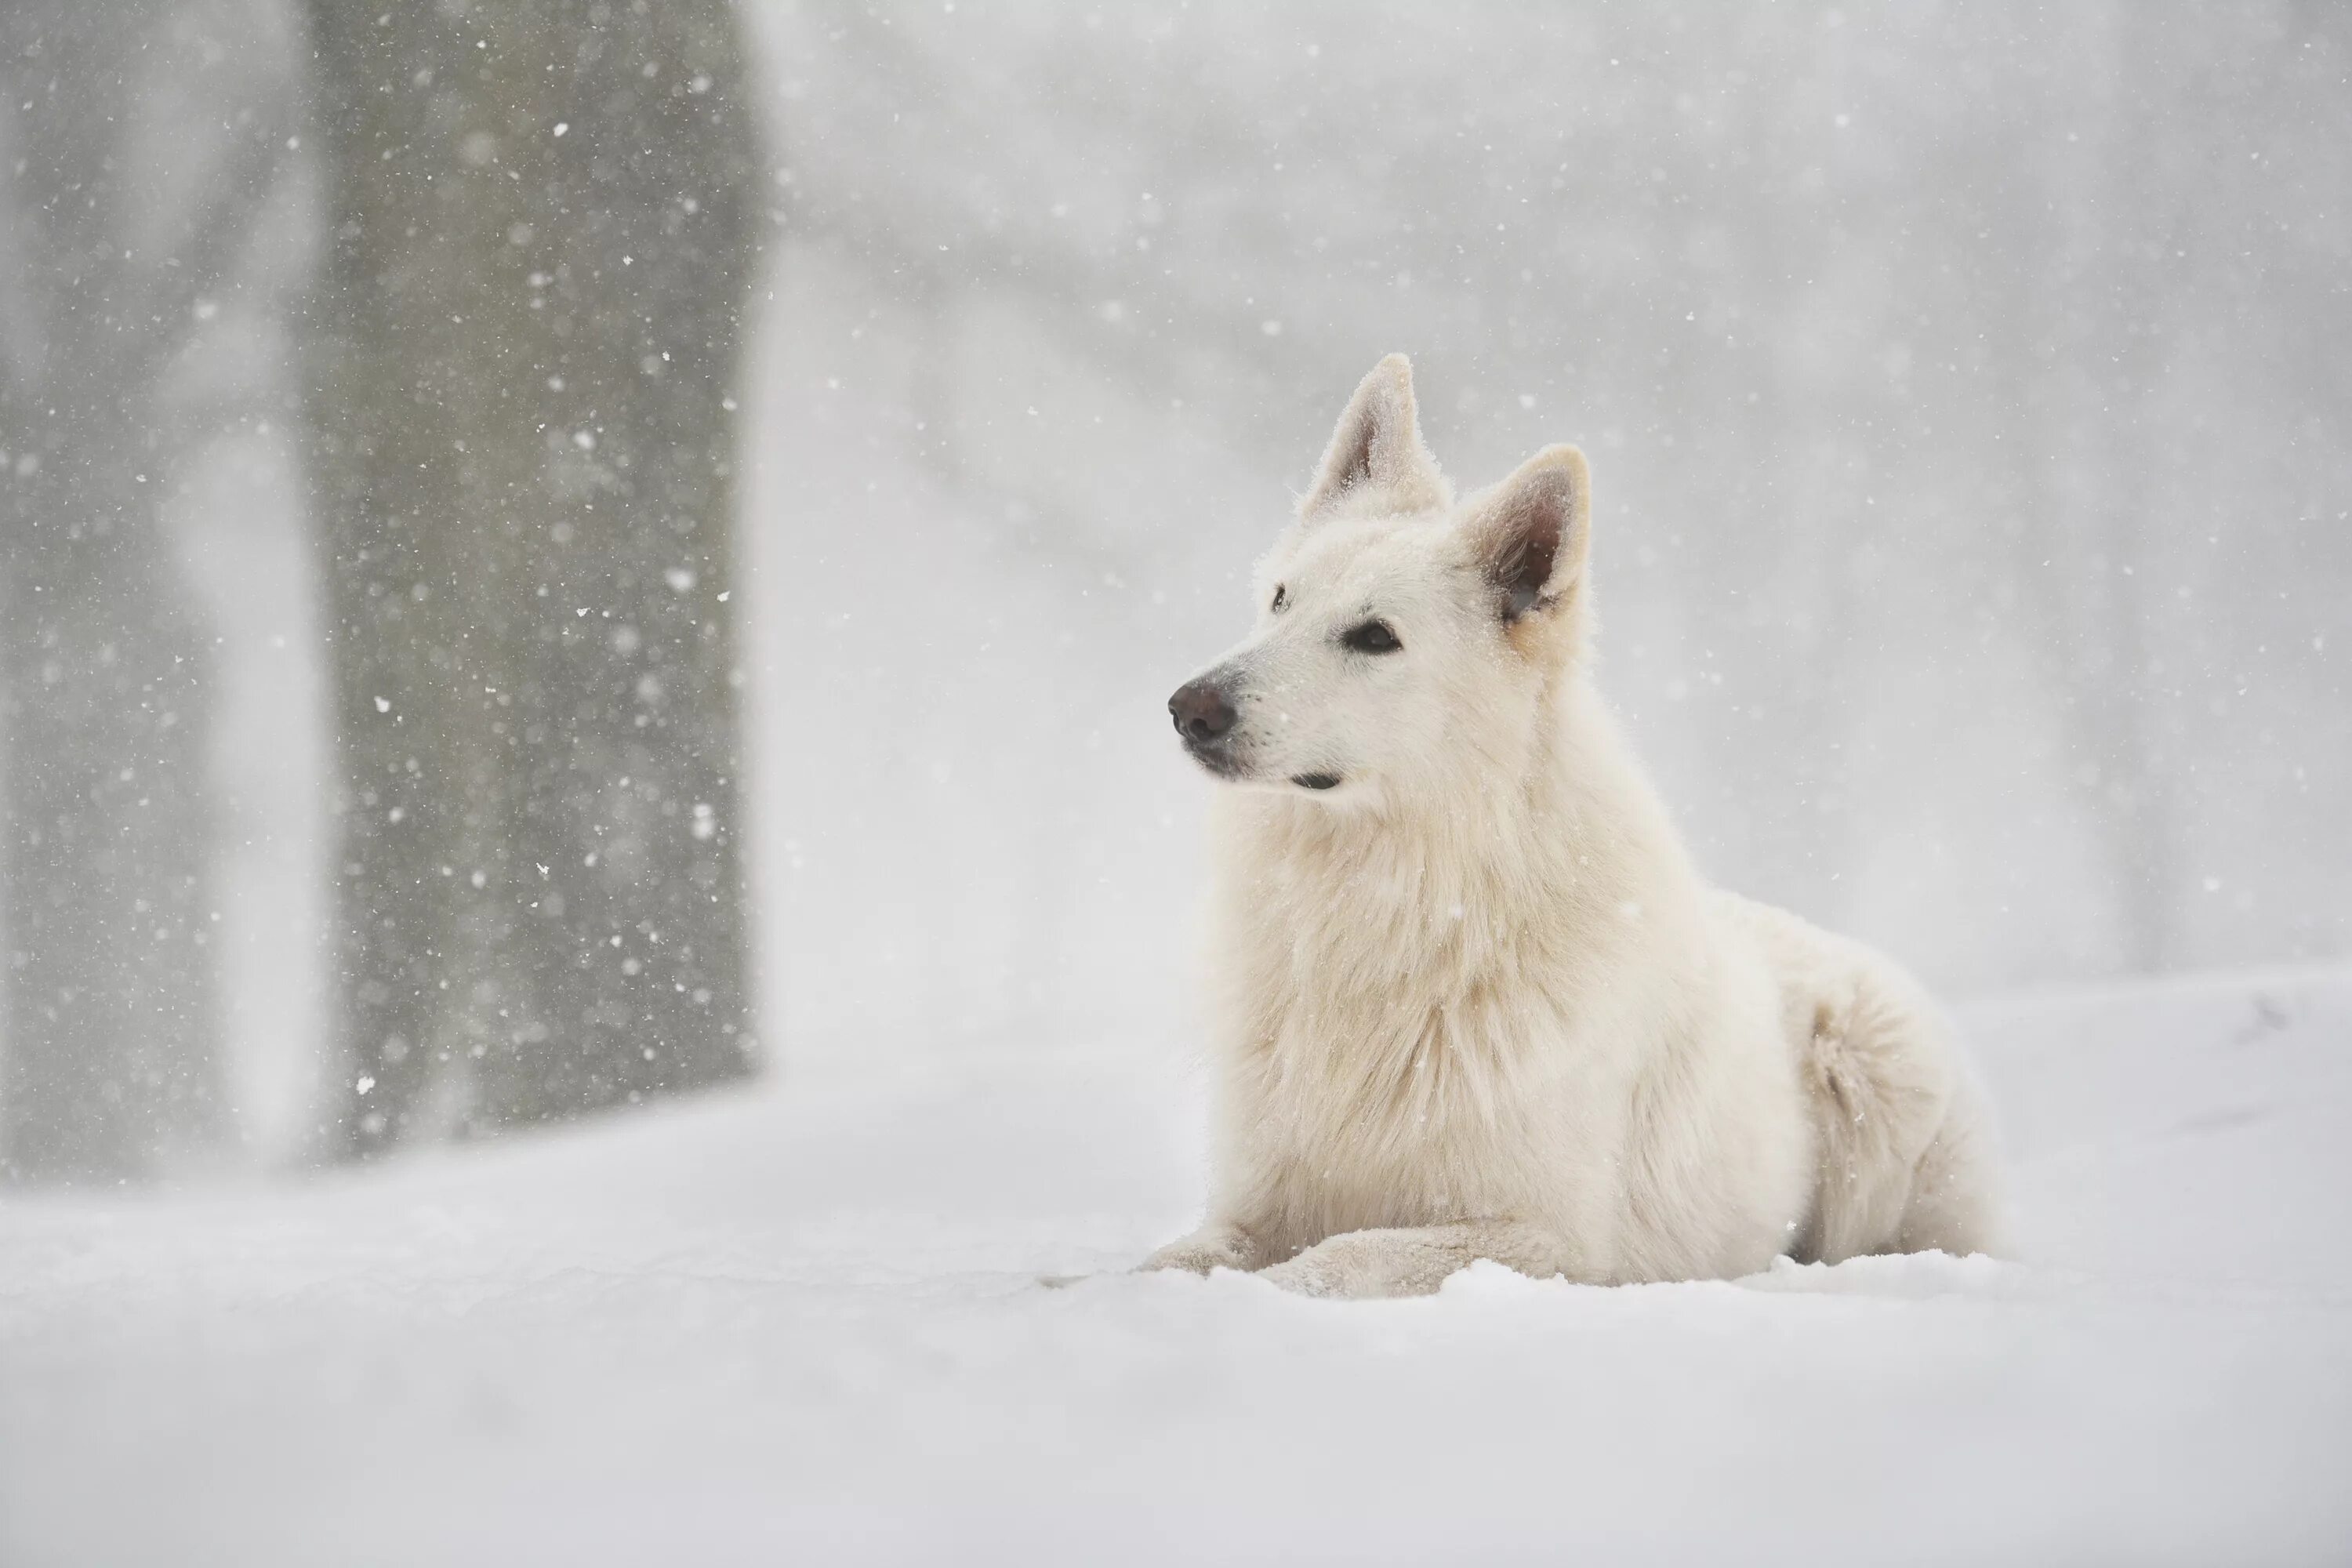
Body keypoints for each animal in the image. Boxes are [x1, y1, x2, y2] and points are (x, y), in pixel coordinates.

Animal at [1148, 354, 1994, 1298]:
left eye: (1373, 637)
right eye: (1280, 600)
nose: (1188, 708)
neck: (1398, 908)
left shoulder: (1549, 1240)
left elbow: (1340, 1257)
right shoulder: (1256, 1204)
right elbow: (1173, 1258)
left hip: (1881, 1097)